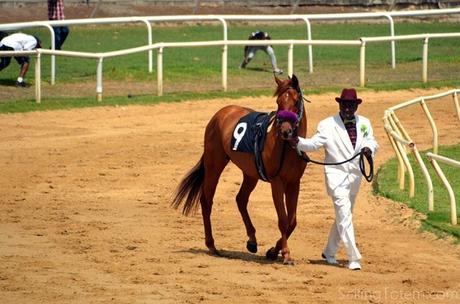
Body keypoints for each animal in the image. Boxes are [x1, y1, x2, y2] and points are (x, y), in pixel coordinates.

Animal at [171, 74, 308, 264]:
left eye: (296, 101)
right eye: (278, 102)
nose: (285, 131)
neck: (287, 147)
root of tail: (221, 113)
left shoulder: (294, 182)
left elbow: (292, 221)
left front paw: (273, 251)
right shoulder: (277, 182)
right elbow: (282, 219)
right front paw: (285, 254)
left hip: (250, 174)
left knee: (241, 199)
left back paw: (252, 240)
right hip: (215, 164)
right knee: (207, 200)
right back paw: (212, 245)